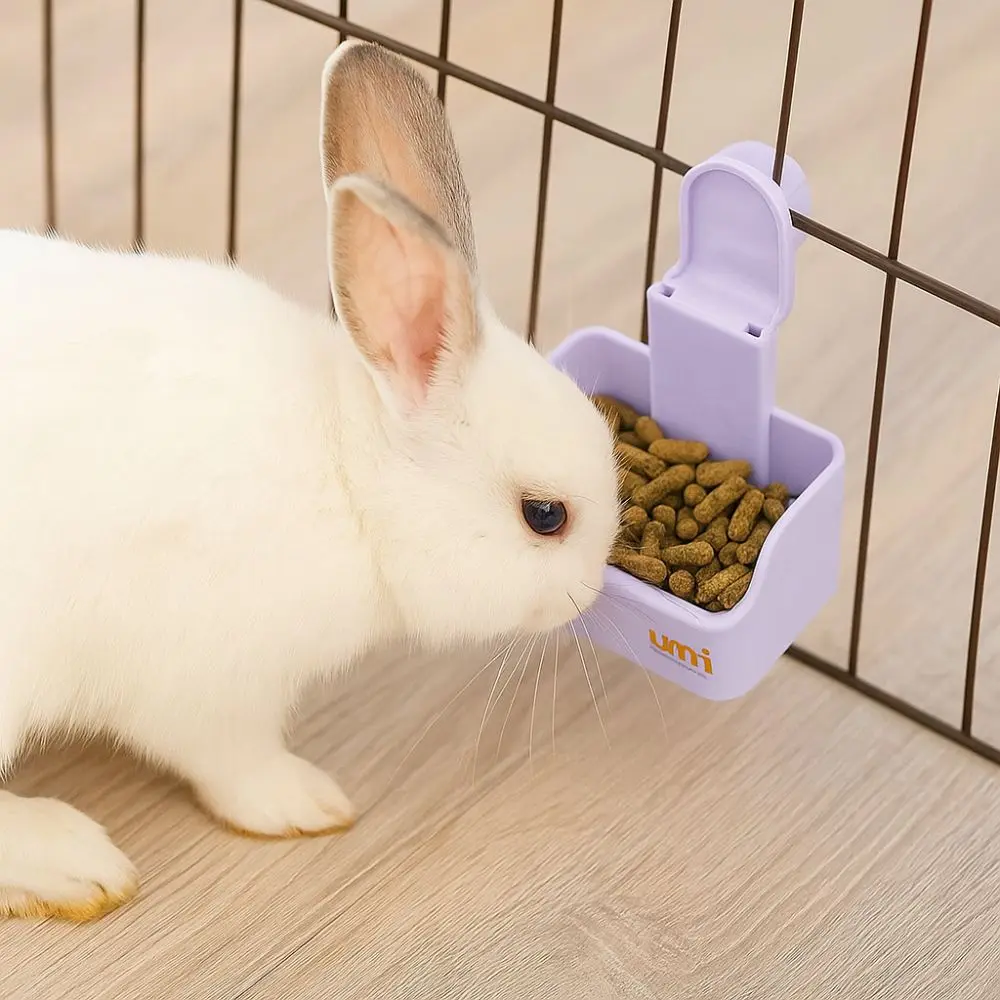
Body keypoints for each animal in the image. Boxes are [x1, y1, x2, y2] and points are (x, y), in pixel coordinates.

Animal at [0, 39, 620, 921]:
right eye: (545, 515)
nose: (593, 590)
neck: (350, 472)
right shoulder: (208, 682)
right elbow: (230, 758)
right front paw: (307, 803)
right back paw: (74, 863)